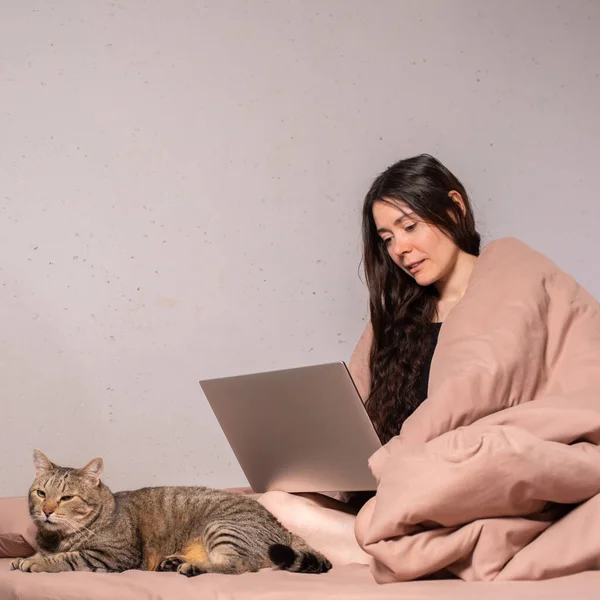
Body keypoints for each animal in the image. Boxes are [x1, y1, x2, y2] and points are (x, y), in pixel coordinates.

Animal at [9, 450, 332, 576]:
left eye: (66, 498)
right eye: (41, 494)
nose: (47, 511)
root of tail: (284, 527)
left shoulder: (113, 556)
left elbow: (68, 558)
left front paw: (37, 563)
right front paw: (27, 557)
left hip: (222, 527)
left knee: (239, 565)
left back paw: (192, 568)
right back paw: (174, 561)